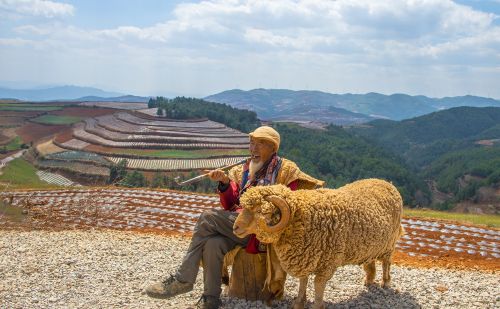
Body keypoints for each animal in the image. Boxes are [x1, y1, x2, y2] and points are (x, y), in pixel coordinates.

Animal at [233, 178, 402, 308]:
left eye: (262, 212)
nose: (235, 227)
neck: (301, 219)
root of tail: (387, 183)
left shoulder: (327, 263)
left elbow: (318, 284)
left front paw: (317, 305)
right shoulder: (304, 259)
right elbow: (303, 281)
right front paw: (299, 303)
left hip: (390, 243)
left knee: (386, 263)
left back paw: (385, 282)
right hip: (371, 244)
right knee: (371, 261)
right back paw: (368, 280)